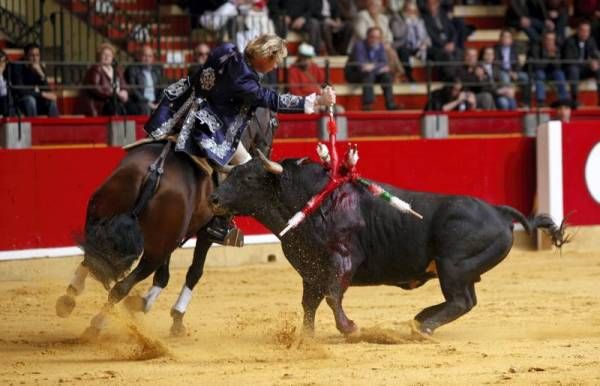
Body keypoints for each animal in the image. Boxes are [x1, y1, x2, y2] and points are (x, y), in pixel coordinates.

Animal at [212, 156, 568, 334]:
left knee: (461, 301)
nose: (213, 198)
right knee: (466, 300)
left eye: (247, 179)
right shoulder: (310, 272)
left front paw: (350, 328)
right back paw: (420, 320)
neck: (309, 201)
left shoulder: (342, 261)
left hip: (453, 266)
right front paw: (306, 338)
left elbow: (332, 296)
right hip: (461, 270)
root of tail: (498, 211)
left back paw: (423, 327)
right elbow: (309, 304)